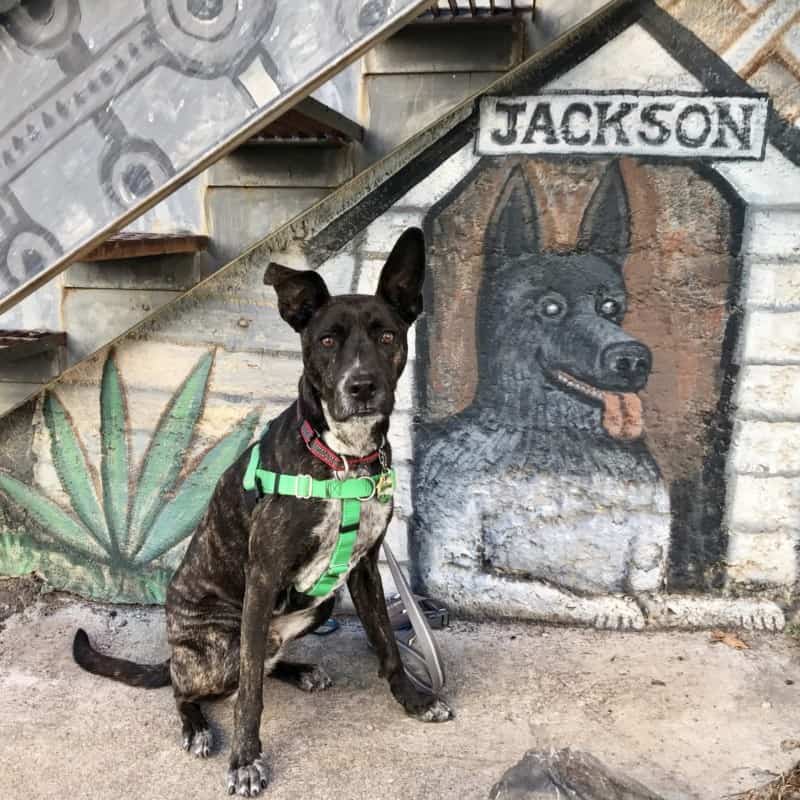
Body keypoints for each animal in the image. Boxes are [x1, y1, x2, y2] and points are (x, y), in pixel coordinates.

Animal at [72, 228, 454, 796]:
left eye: (387, 336)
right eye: (326, 341)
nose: (362, 386)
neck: (342, 458)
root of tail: (176, 646)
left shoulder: (364, 567)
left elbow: (385, 639)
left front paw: (414, 698)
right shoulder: (265, 573)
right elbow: (249, 696)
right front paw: (246, 760)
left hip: (319, 607)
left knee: (264, 662)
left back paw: (300, 670)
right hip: (221, 645)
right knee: (194, 686)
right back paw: (196, 727)